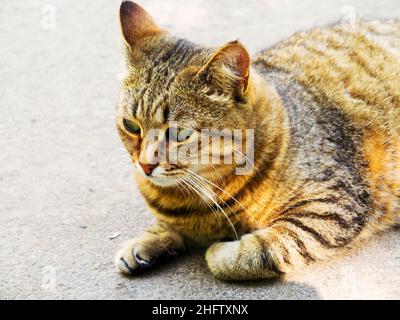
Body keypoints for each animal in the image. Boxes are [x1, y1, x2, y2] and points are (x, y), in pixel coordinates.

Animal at [113, 0, 400, 280]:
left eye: (180, 133)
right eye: (131, 125)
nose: (145, 165)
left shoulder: (332, 205)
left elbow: (265, 248)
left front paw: (219, 250)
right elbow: (169, 226)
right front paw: (149, 240)